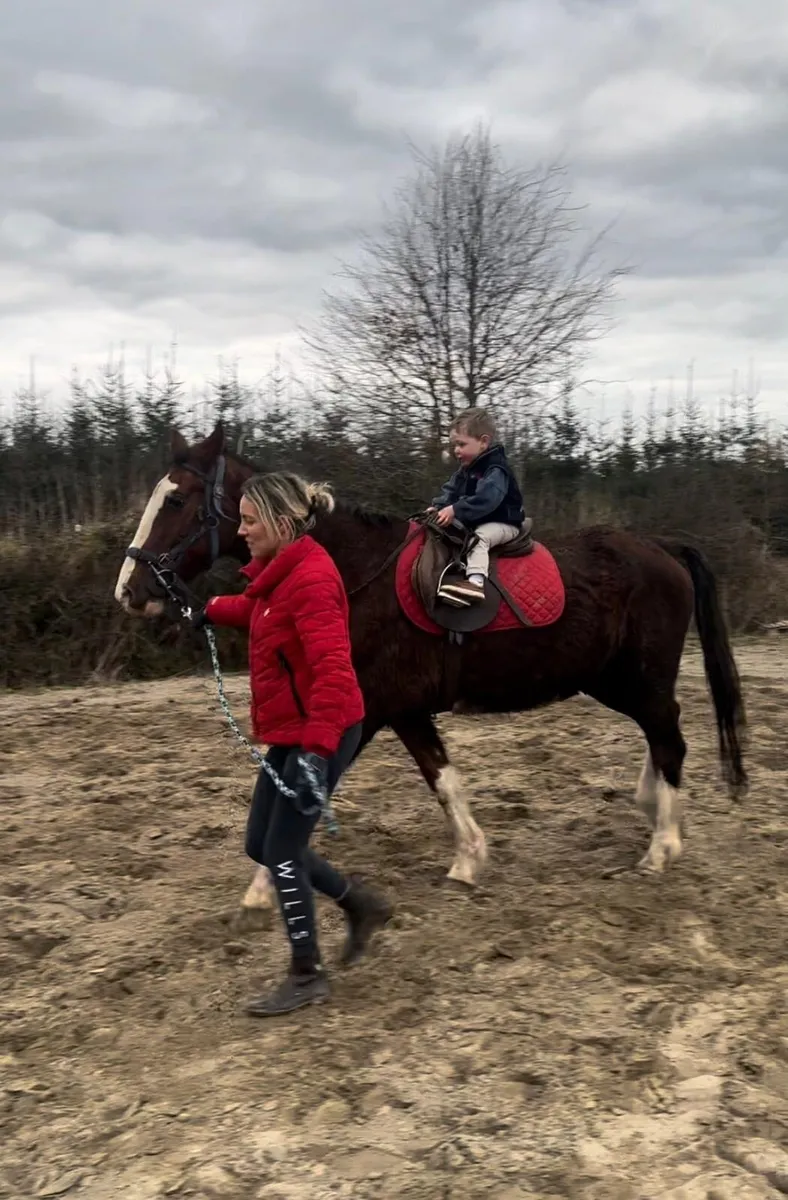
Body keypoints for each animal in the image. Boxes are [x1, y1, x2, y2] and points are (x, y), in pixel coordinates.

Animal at [114, 422, 747, 915]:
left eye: (176, 501)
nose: (130, 590)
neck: (350, 574)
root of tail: (663, 547)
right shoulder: (395, 710)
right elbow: (437, 778)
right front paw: (469, 859)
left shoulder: (374, 710)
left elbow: (336, 790)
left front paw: (268, 883)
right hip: (614, 680)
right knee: (659, 733)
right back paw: (652, 807)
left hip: (636, 677)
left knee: (670, 736)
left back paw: (662, 846)